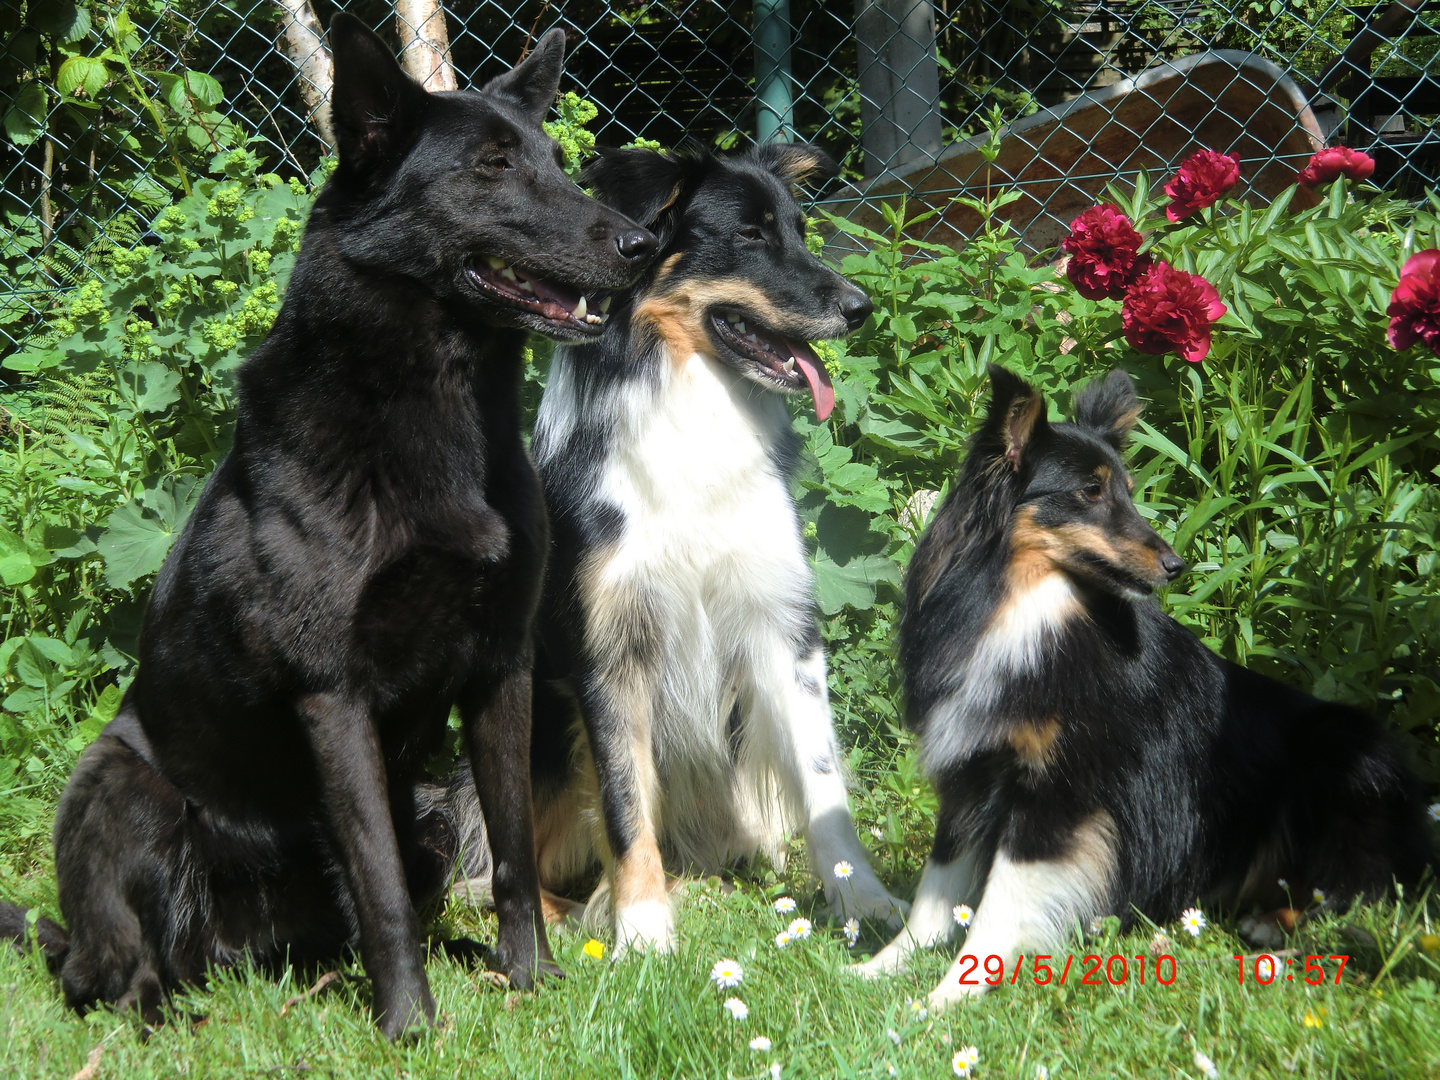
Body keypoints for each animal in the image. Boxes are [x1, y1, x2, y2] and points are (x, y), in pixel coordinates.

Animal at [0, 12, 653, 1036]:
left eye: (555, 161)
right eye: (494, 165)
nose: (641, 243)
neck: (435, 413)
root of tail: (234, 954)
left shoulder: (500, 666)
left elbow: (510, 848)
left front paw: (531, 980)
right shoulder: (331, 693)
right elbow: (378, 883)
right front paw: (412, 1027)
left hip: (428, 813)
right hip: (125, 791)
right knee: (114, 974)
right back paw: (165, 1017)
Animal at [440, 146, 910, 956]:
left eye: (799, 228)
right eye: (750, 235)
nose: (860, 307)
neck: (695, 406)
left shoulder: (781, 624)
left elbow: (824, 781)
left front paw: (867, 904)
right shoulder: (607, 648)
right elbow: (625, 799)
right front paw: (643, 930)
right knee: (485, 875)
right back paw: (577, 918)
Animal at [858, 368, 1434, 1013]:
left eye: (1128, 491)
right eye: (1090, 491)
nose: (1176, 565)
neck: (1023, 610)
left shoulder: (1060, 794)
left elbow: (999, 903)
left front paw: (945, 996)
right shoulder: (969, 773)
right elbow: (935, 893)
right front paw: (880, 969)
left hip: (1341, 754)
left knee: (1362, 893)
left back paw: (1275, 940)